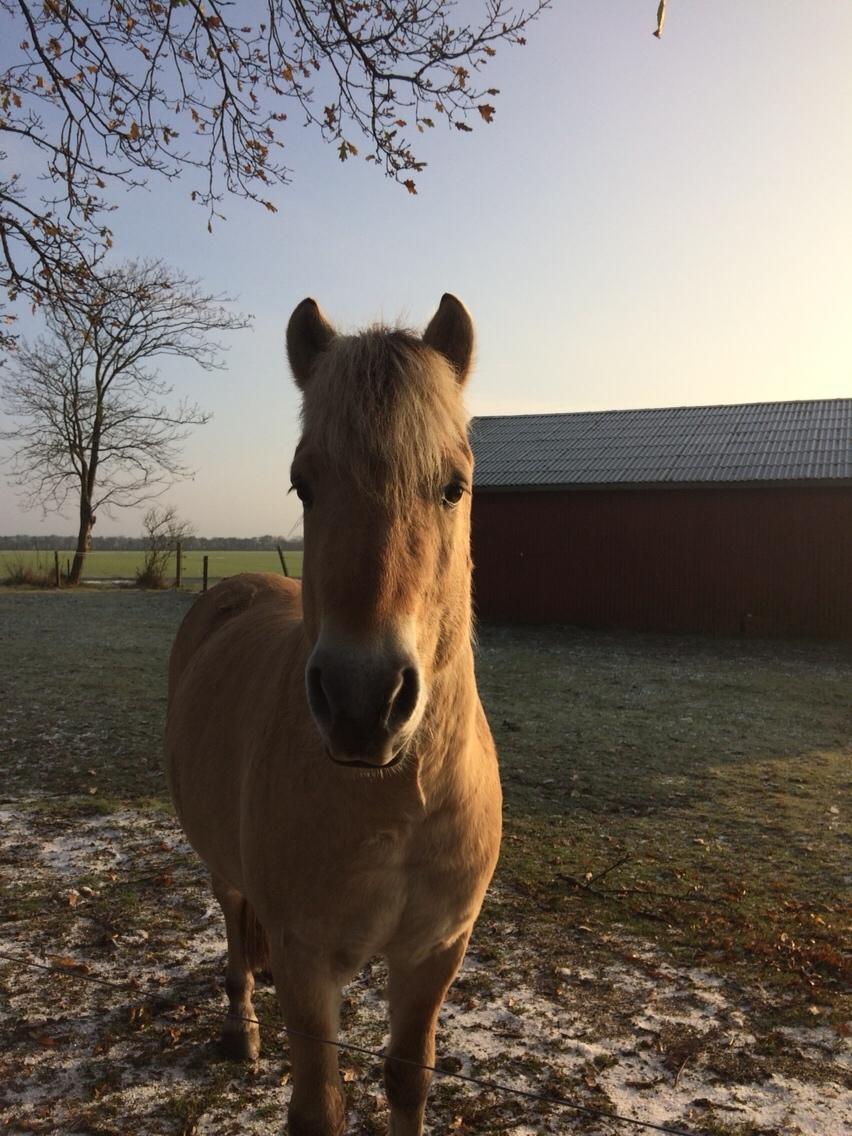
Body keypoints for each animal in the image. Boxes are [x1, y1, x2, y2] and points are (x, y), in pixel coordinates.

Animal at [163, 295, 504, 1136]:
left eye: (454, 486)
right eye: (303, 484)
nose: (361, 701)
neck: (397, 803)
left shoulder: (434, 954)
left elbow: (408, 1081)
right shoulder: (306, 959)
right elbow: (318, 1107)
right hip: (226, 873)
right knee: (232, 923)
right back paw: (240, 1029)